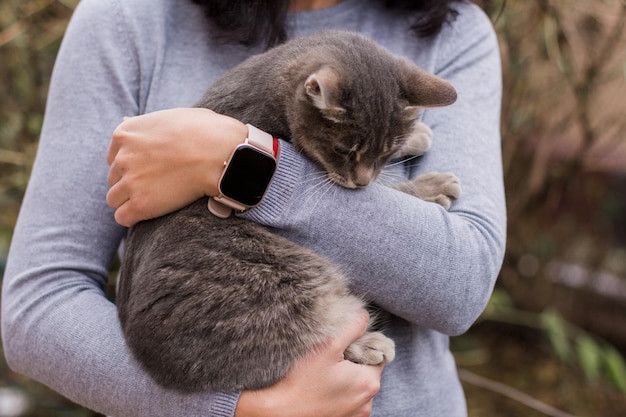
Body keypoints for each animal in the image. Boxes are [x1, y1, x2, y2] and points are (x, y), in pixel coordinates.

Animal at [116, 30, 458, 392]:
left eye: (387, 150)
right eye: (344, 151)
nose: (362, 181)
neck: (269, 87)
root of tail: (155, 368)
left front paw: (416, 136)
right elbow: (393, 190)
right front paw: (431, 186)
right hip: (295, 284)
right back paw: (366, 342)